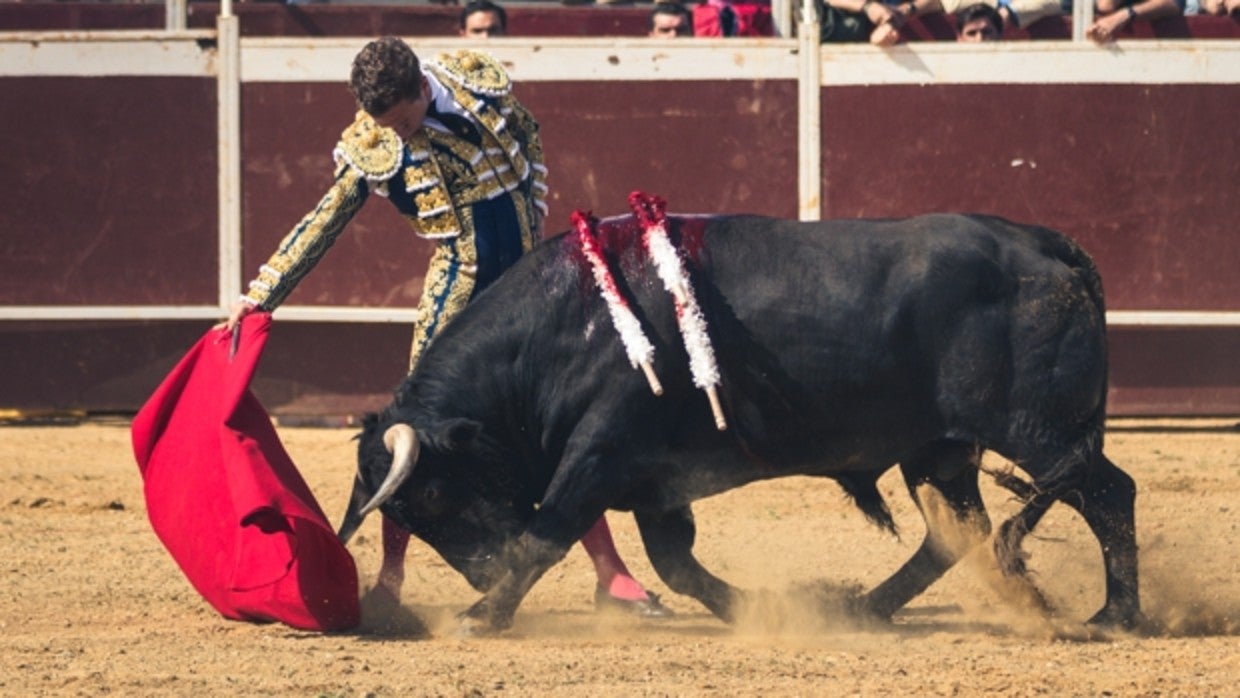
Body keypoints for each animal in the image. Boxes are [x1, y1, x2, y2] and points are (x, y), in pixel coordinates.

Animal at [334, 212, 1135, 634]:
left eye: (431, 493)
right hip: (938, 449)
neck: (566, 328)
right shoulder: (656, 481)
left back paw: (1114, 615)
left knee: (1108, 493)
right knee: (954, 531)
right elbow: (676, 564)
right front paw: (755, 608)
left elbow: (547, 532)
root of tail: (1051, 246)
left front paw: (481, 614)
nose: (480, 570)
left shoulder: (601, 452)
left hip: (1037, 430)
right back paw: (861, 608)